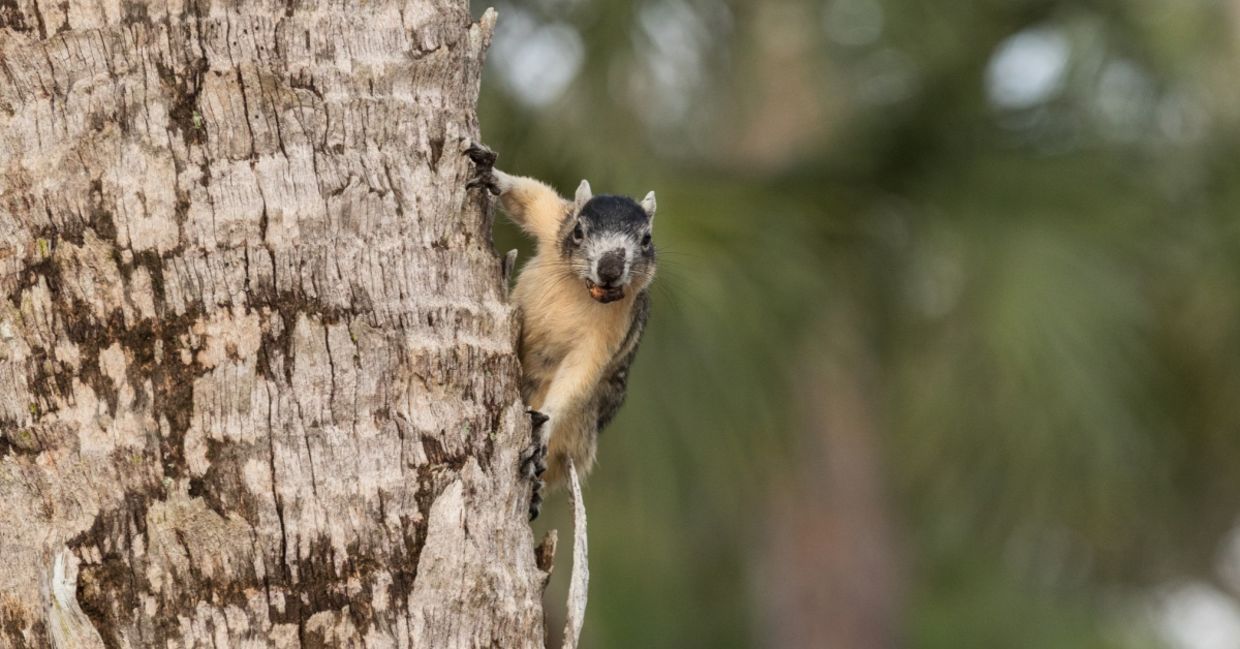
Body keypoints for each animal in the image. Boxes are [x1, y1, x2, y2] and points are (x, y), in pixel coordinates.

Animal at [465, 142, 656, 520]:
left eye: (646, 240)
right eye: (578, 231)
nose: (609, 269)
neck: (581, 288)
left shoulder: (611, 333)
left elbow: (579, 373)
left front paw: (543, 426)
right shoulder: (554, 221)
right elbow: (529, 198)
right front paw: (491, 174)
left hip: (576, 434)